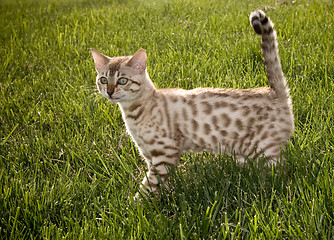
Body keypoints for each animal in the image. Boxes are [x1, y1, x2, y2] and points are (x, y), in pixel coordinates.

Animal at [90, 9, 292, 199]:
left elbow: (148, 186)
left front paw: (136, 206)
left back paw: (268, 191)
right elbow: (158, 184)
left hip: (265, 152)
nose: (109, 92)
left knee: (280, 176)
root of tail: (274, 92)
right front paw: (163, 196)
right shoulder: (147, 154)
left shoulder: (165, 154)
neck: (132, 113)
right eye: (103, 80)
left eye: (122, 80)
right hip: (245, 153)